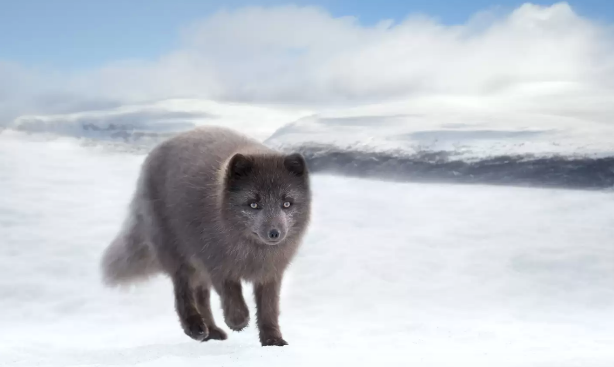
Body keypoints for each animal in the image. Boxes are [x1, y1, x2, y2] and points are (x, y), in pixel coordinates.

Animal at [103, 126, 312, 348]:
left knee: (201, 296)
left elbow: (268, 309)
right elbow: (231, 294)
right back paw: (195, 328)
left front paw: (272, 340)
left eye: (287, 203)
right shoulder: (215, 263)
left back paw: (211, 331)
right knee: (183, 292)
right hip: (178, 255)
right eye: (254, 204)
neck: (252, 253)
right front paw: (237, 320)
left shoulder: (271, 273)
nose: (274, 233)